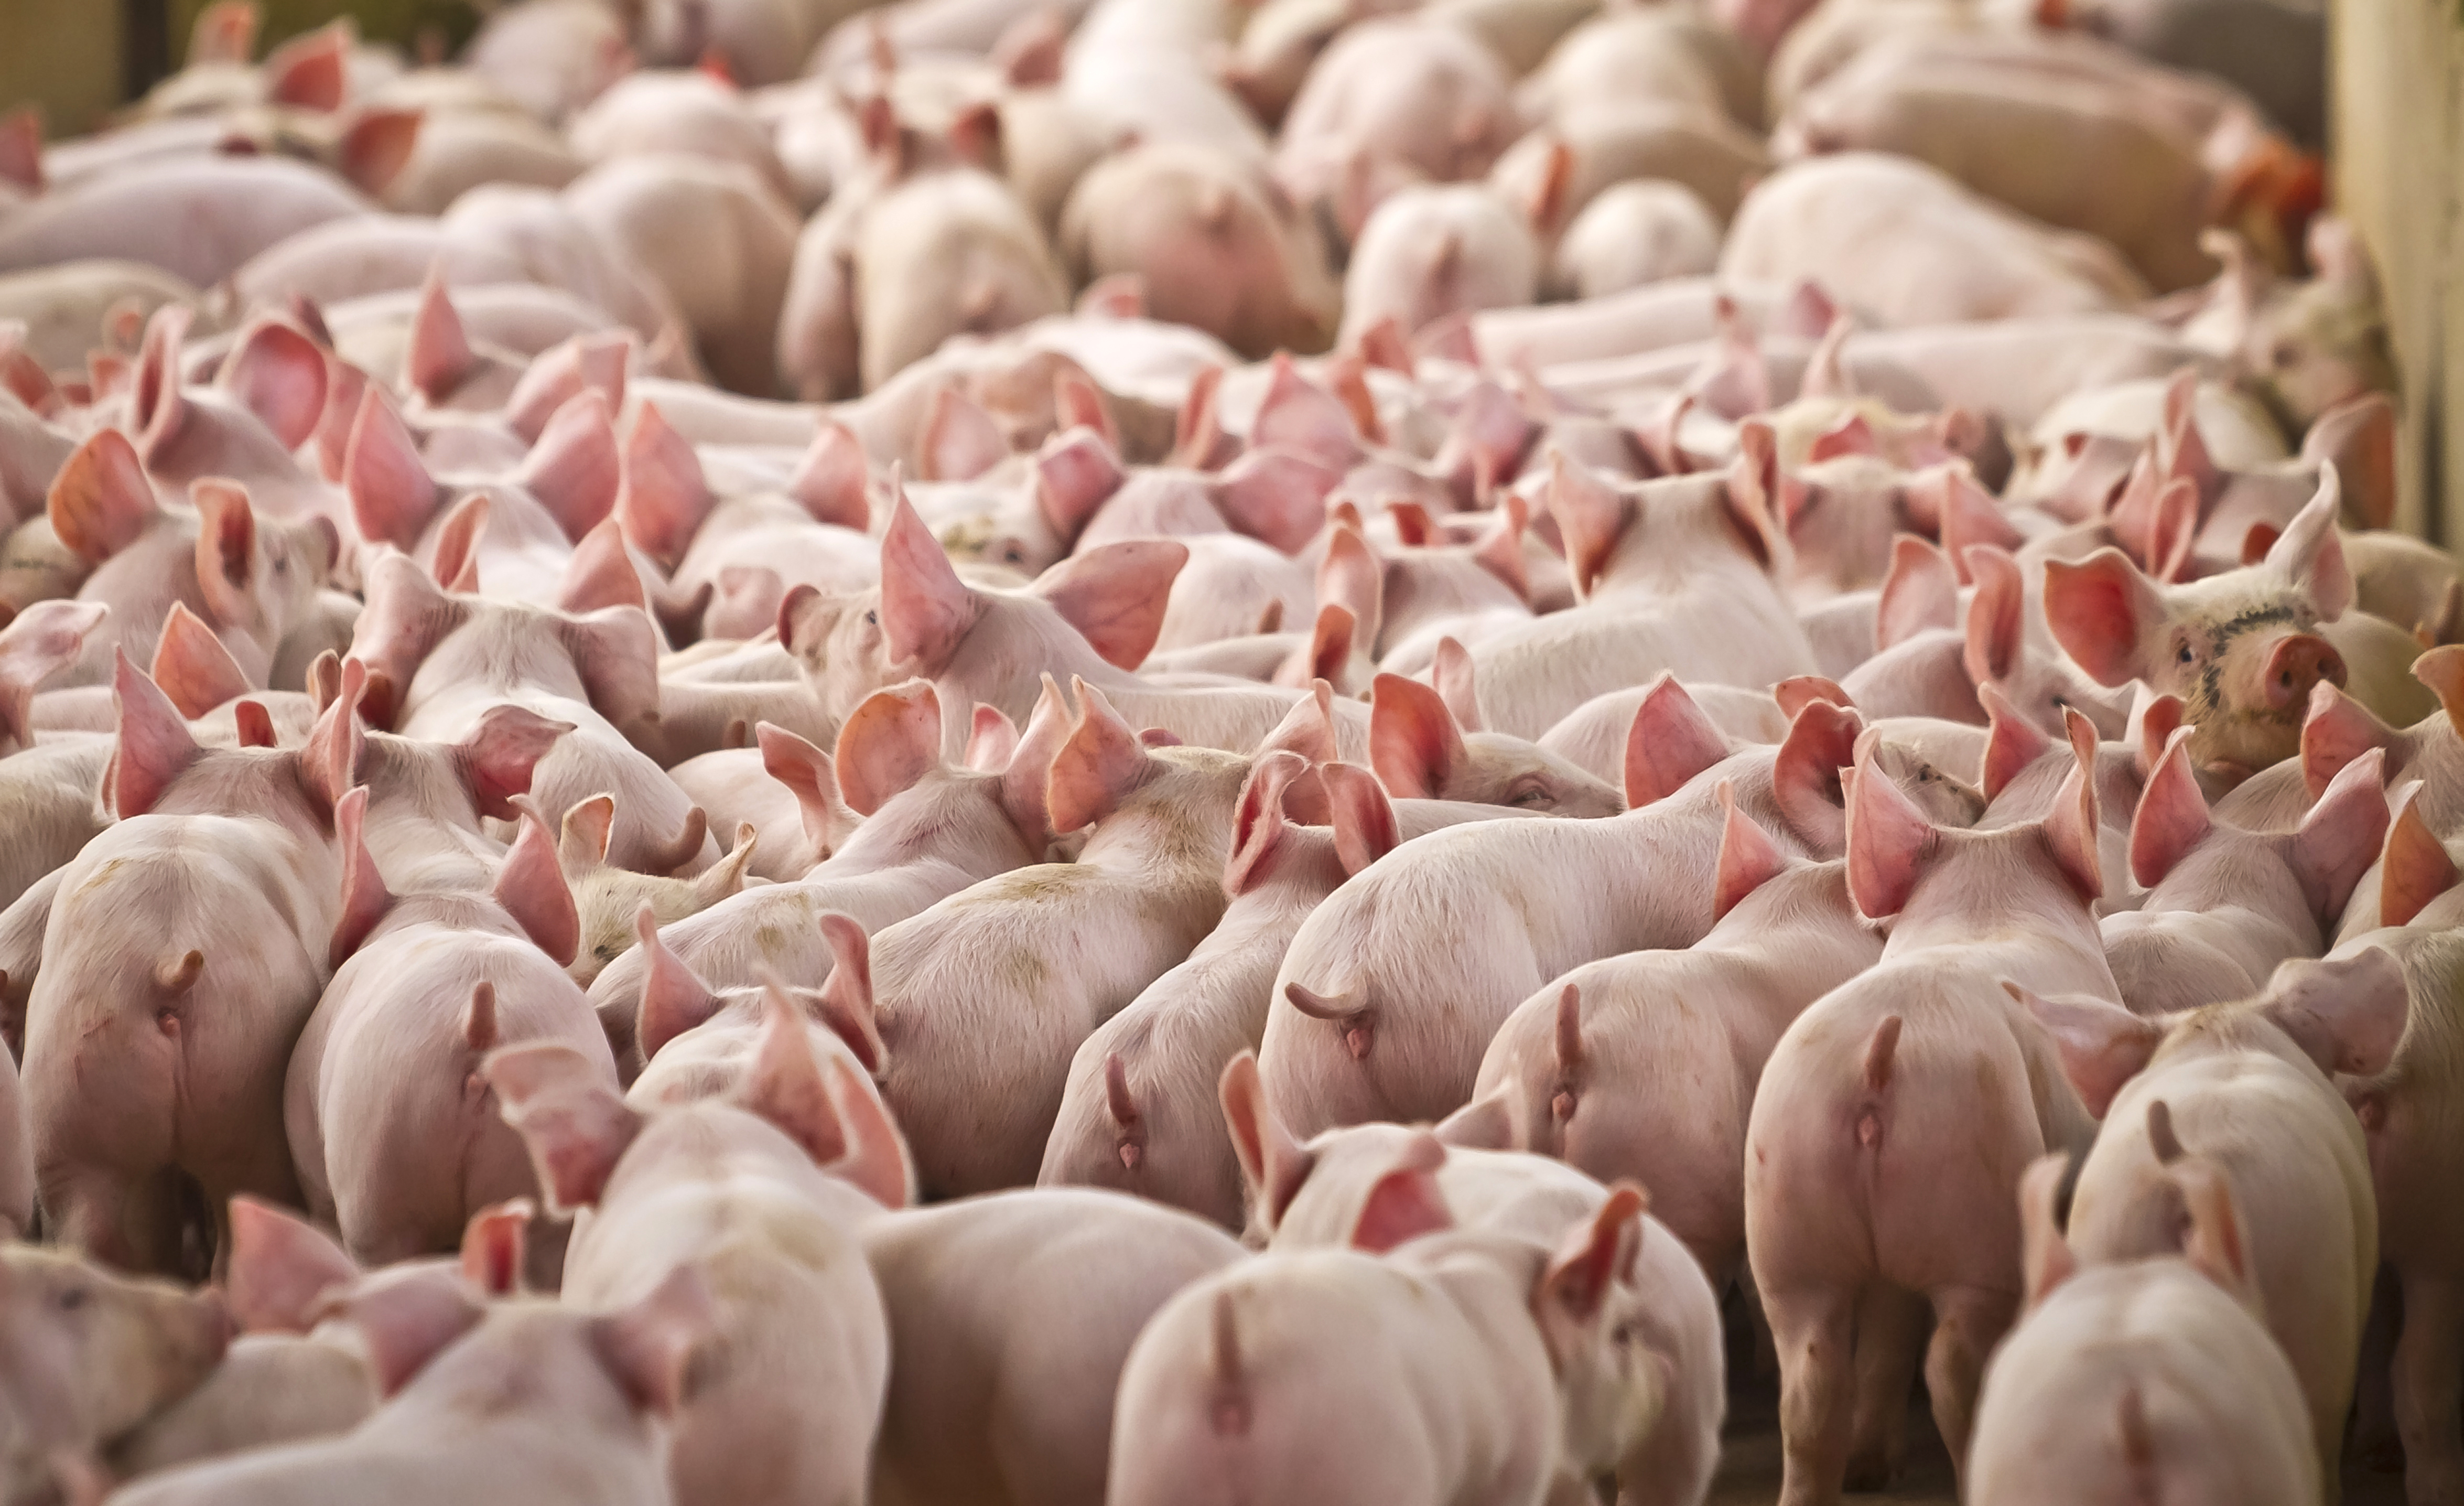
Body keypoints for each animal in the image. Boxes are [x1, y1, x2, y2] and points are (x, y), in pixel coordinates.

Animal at [1745, 715, 2112, 1503]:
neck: (1986, 907)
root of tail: (1876, 1063)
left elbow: (1886, 1333)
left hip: (1787, 1210)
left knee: (1812, 1379)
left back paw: (1855, 1474)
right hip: (1975, 1196)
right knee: (1953, 1363)